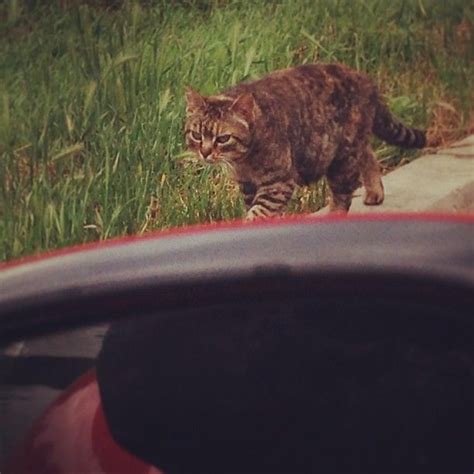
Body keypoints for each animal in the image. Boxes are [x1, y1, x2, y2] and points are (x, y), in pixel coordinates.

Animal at [183, 62, 424, 219]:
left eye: (223, 138)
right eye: (196, 135)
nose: (205, 152)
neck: (243, 160)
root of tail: (365, 79)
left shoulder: (278, 183)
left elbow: (257, 213)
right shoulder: (248, 186)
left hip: (341, 159)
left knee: (342, 196)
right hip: (349, 148)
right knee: (368, 154)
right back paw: (375, 192)